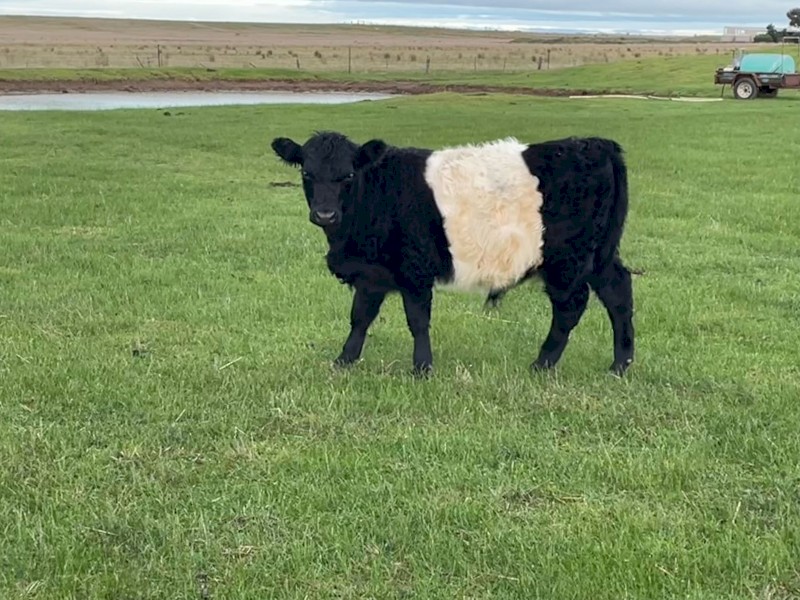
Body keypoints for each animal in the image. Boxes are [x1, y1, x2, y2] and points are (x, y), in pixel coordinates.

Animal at [270, 131, 634, 376]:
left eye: (347, 175)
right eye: (307, 173)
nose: (325, 214)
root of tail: (594, 144)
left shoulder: (414, 269)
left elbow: (417, 320)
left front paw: (421, 368)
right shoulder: (372, 274)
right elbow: (360, 317)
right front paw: (344, 360)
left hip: (567, 259)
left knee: (571, 306)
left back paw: (542, 363)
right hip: (598, 257)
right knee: (618, 292)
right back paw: (620, 363)